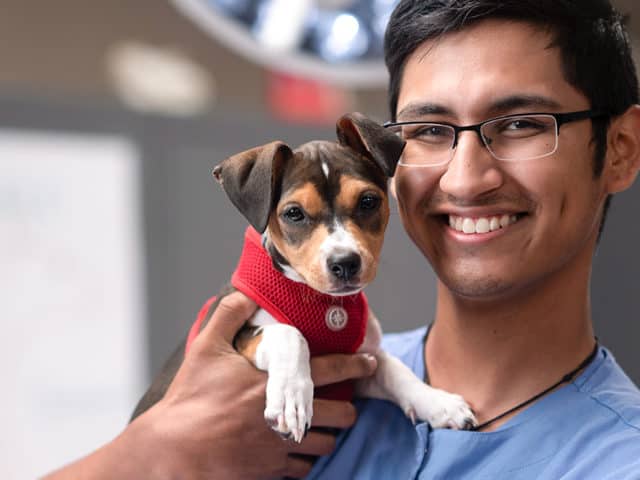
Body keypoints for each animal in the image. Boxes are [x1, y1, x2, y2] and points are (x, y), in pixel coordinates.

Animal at [131, 112, 476, 442]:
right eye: (294, 213)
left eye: (368, 201)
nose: (345, 263)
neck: (317, 299)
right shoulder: (236, 336)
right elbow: (289, 334)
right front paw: (290, 398)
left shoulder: (358, 365)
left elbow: (393, 367)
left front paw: (438, 402)